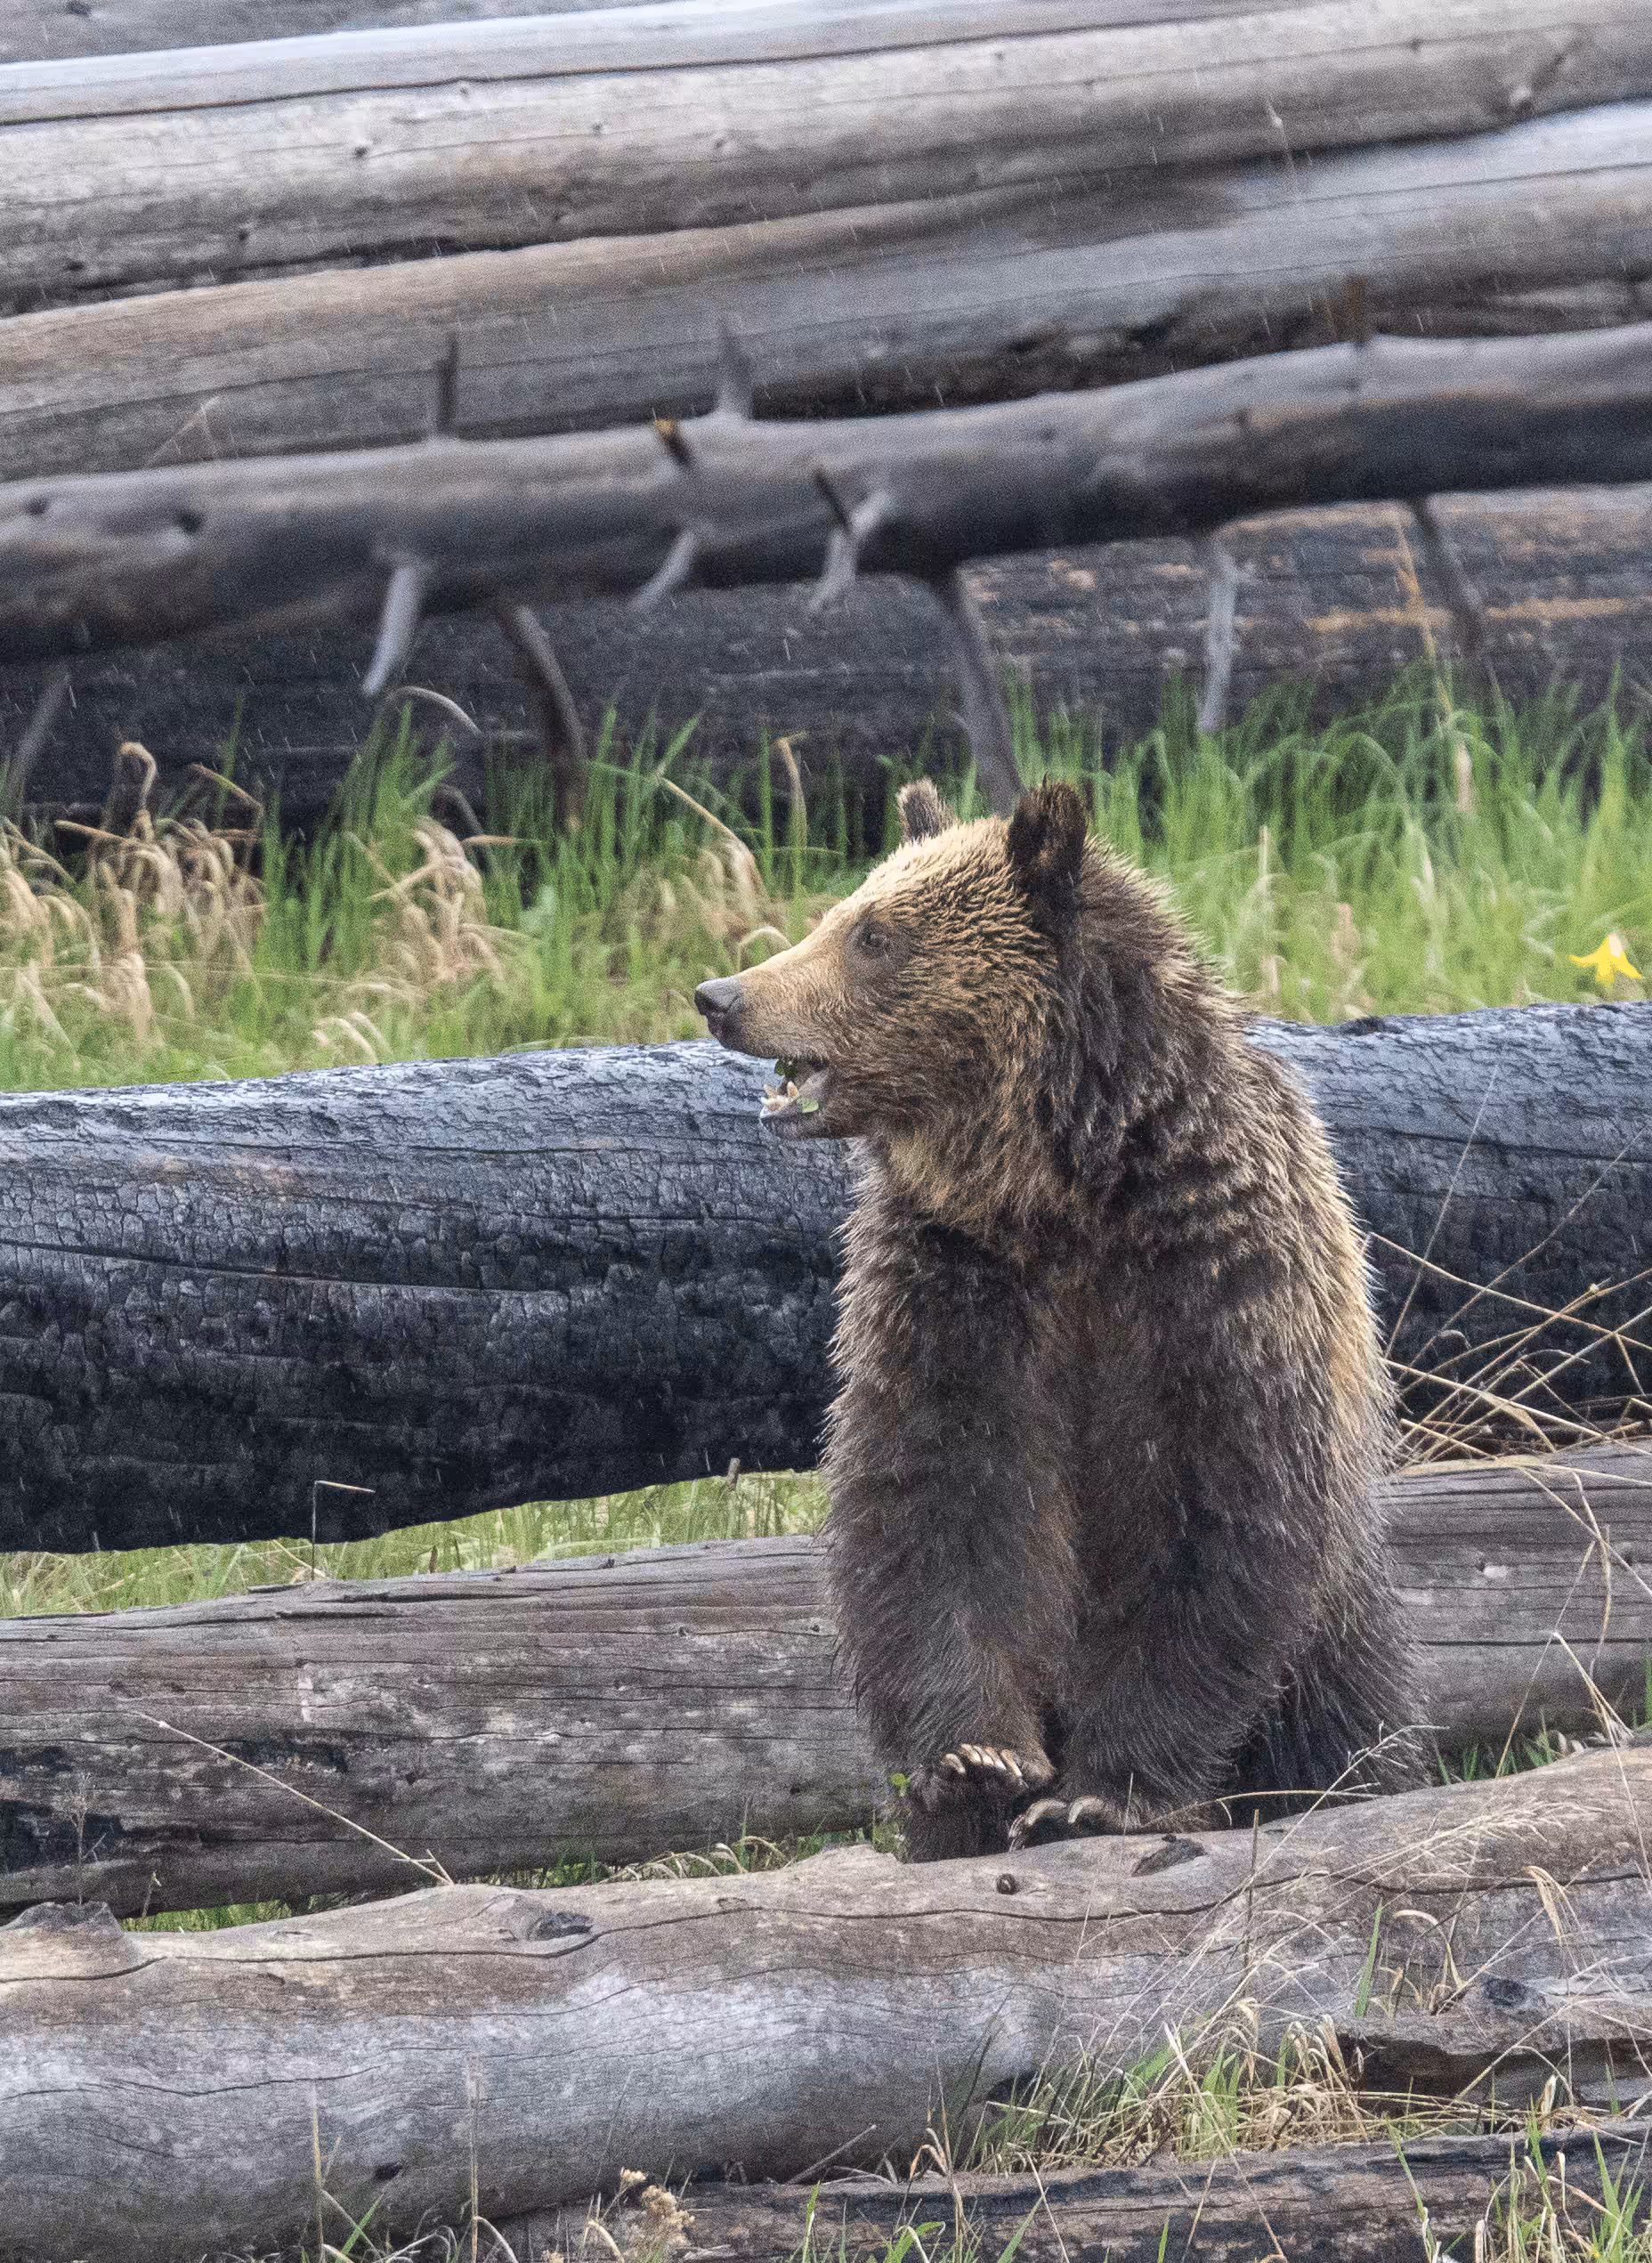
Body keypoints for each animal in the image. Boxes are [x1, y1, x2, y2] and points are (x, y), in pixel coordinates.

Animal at [695, 778, 1419, 1860]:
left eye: (873, 935)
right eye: (841, 910)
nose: (723, 996)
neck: (1058, 1188)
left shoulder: (1208, 1286)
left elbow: (1209, 1525)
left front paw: (1103, 1792)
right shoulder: (957, 1292)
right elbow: (936, 1511)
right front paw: (972, 1766)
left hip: (1338, 1639)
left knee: (1347, 1724)